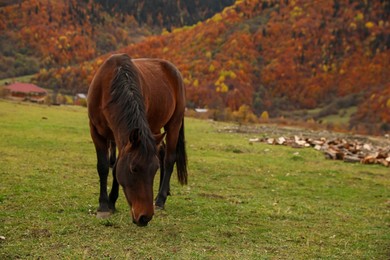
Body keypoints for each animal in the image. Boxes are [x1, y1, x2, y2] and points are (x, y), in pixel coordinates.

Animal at [87, 52, 187, 225]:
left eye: (154, 170)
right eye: (133, 169)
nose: (145, 217)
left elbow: (115, 169)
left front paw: (111, 202)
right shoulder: (96, 132)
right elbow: (103, 167)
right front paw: (104, 206)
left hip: (174, 124)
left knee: (169, 159)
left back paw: (160, 199)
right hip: (154, 128)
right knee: (162, 152)